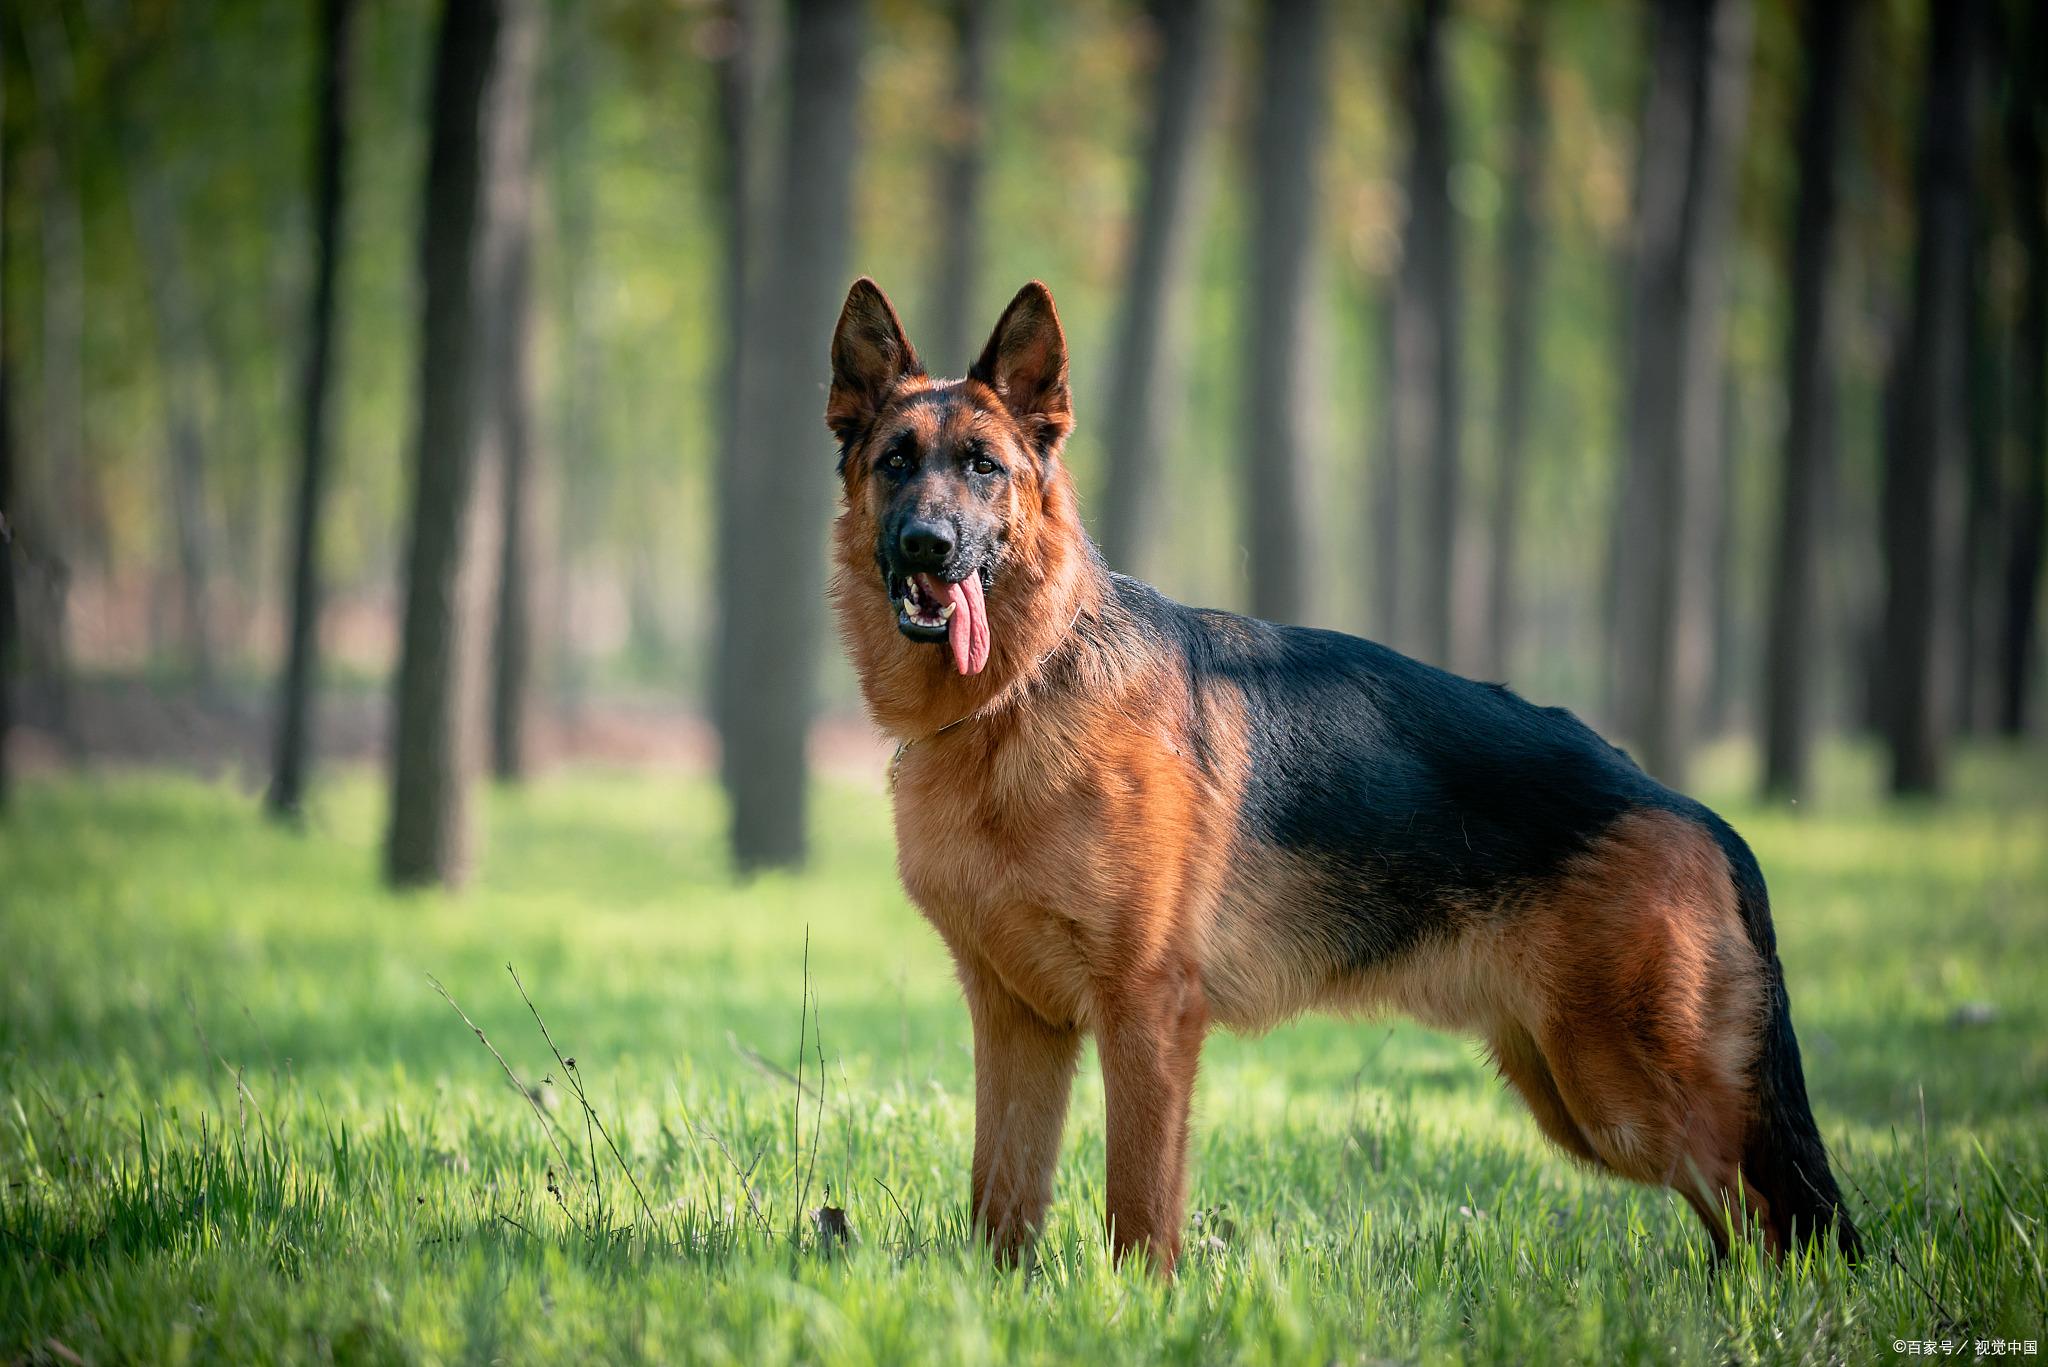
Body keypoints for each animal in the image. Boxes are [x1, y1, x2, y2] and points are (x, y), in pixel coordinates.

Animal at [823, 278, 1867, 1270]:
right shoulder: (1018, 1024)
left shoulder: (1148, 1016)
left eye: (983, 468)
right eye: (897, 463)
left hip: (1628, 1094)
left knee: (1787, 1226)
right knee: (1754, 1229)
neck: (1024, 689)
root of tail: (1692, 810)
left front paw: (1138, 1308)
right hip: (1577, 1091)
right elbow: (1001, 1202)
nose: (927, 546)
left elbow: (1139, 1210)